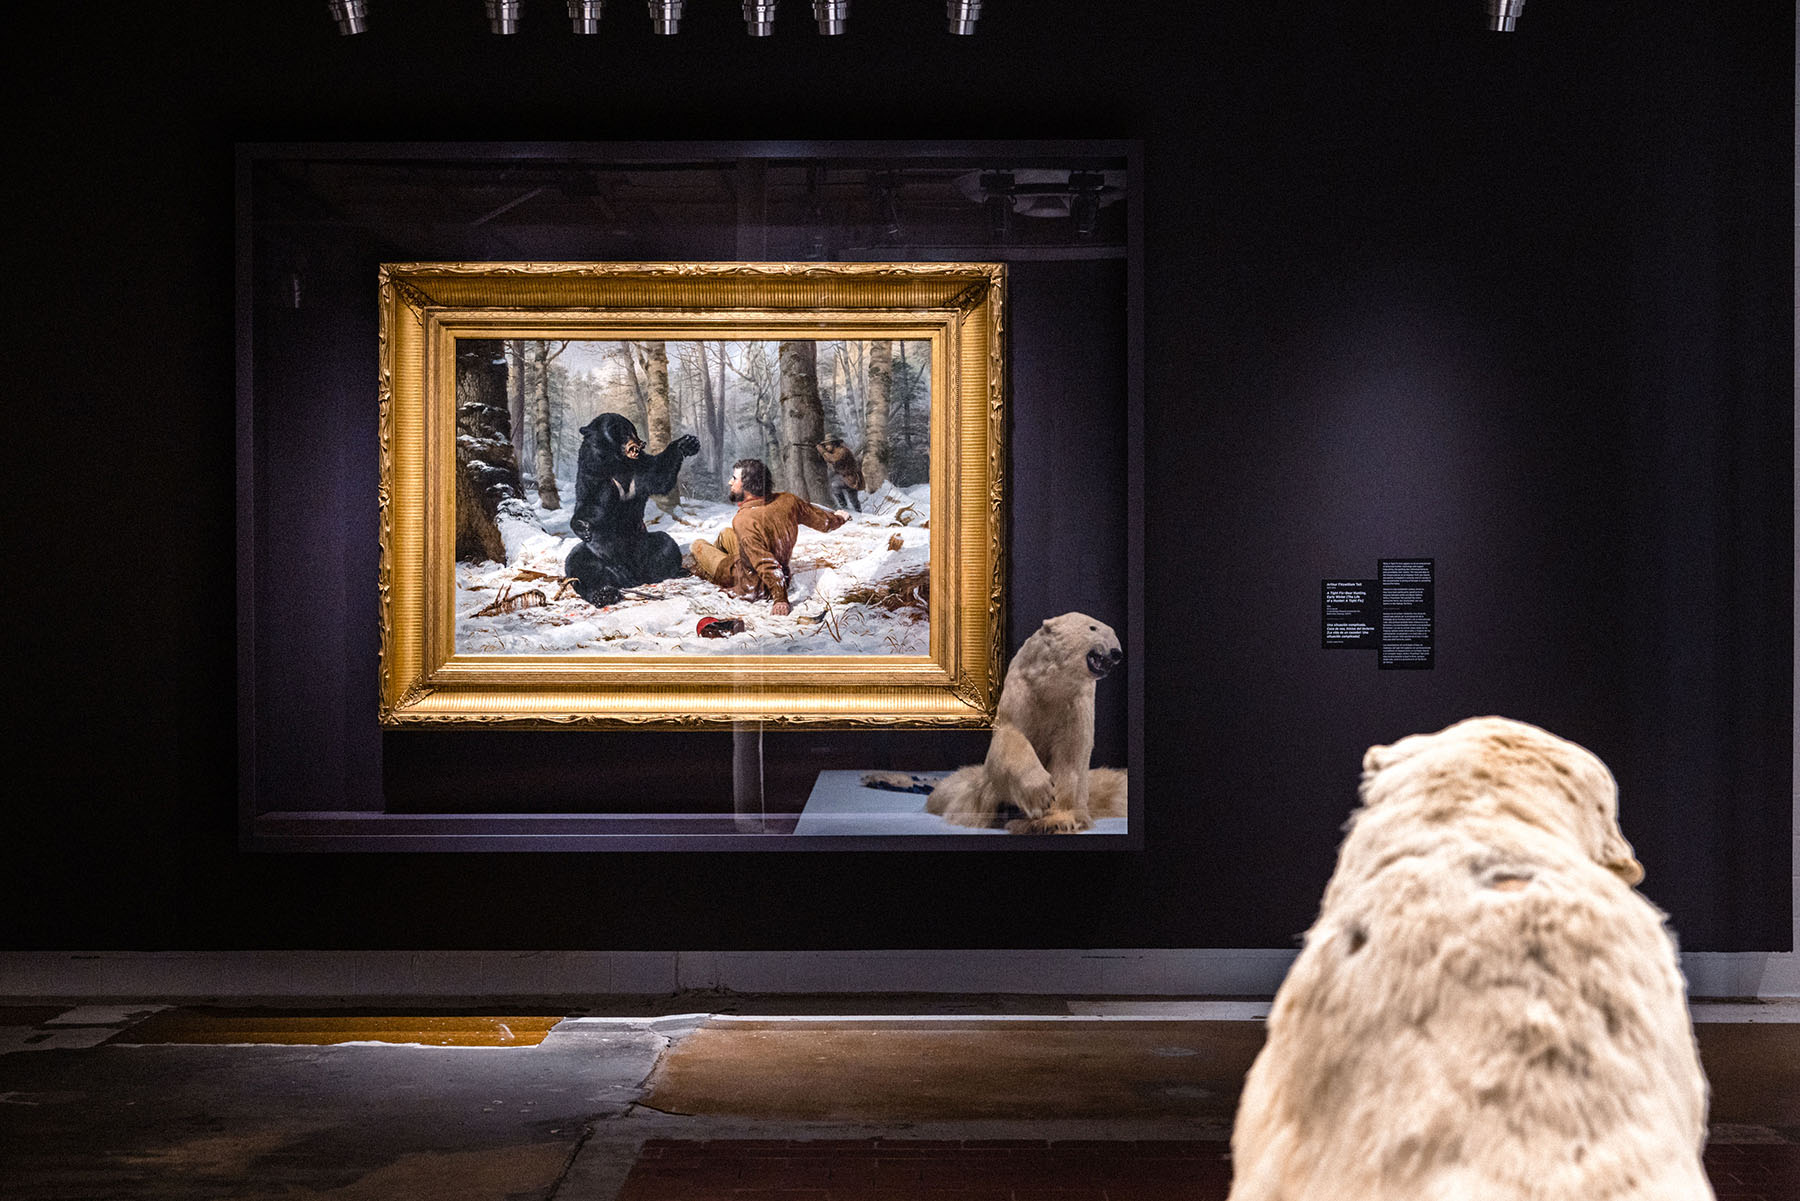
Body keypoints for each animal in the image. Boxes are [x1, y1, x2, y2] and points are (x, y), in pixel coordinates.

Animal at [921, 615, 1116, 831]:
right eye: (1093, 628)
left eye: (1114, 633)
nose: (1116, 653)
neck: (1052, 688)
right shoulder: (1023, 692)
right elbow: (1011, 738)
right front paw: (1041, 795)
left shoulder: (1076, 704)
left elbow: (1069, 758)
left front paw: (1055, 821)